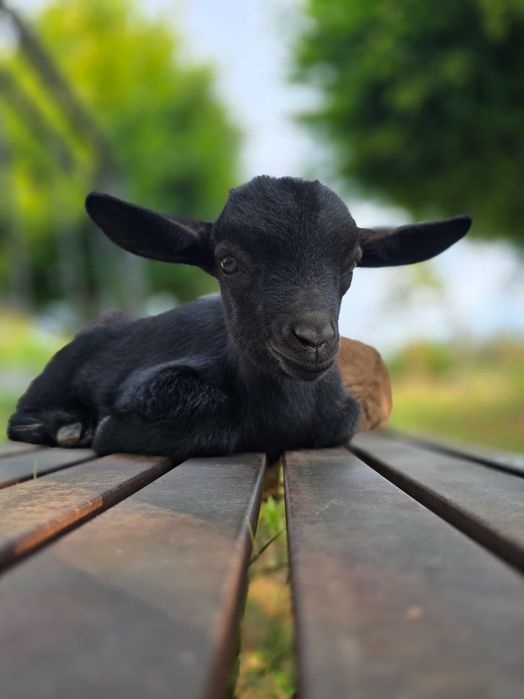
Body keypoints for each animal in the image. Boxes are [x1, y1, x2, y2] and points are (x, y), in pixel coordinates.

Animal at [7, 176, 471, 462]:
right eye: (227, 262)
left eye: (353, 262)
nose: (313, 339)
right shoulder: (148, 385)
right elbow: (210, 417)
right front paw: (102, 428)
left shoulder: (342, 414)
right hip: (58, 369)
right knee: (19, 416)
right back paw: (67, 427)